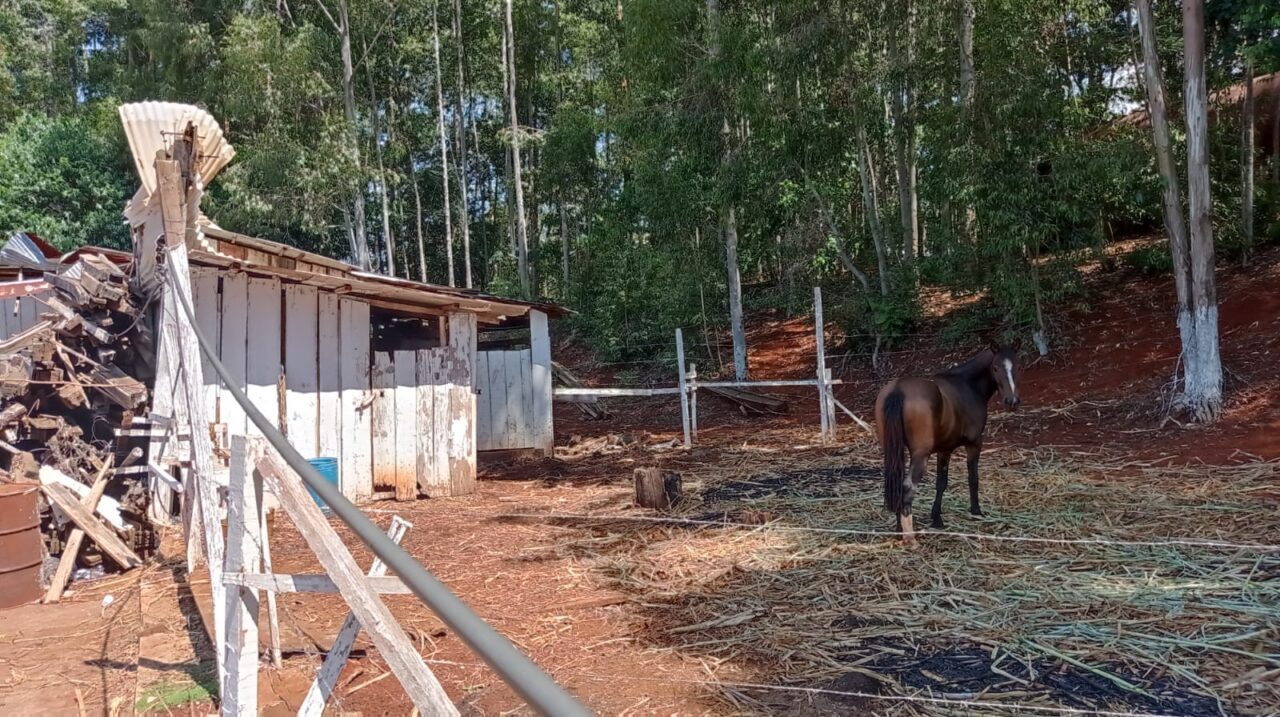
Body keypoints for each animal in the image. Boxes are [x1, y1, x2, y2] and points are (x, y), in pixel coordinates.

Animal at [870, 345, 1018, 540]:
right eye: (995, 368)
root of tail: (898, 389)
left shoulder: (944, 450)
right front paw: (976, 511)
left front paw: (936, 518)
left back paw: (899, 530)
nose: (1012, 400)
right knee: (908, 487)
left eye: (1016, 367)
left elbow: (941, 483)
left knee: (897, 485)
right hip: (920, 456)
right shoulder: (973, 444)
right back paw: (910, 537)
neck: (966, 385)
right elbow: (972, 479)